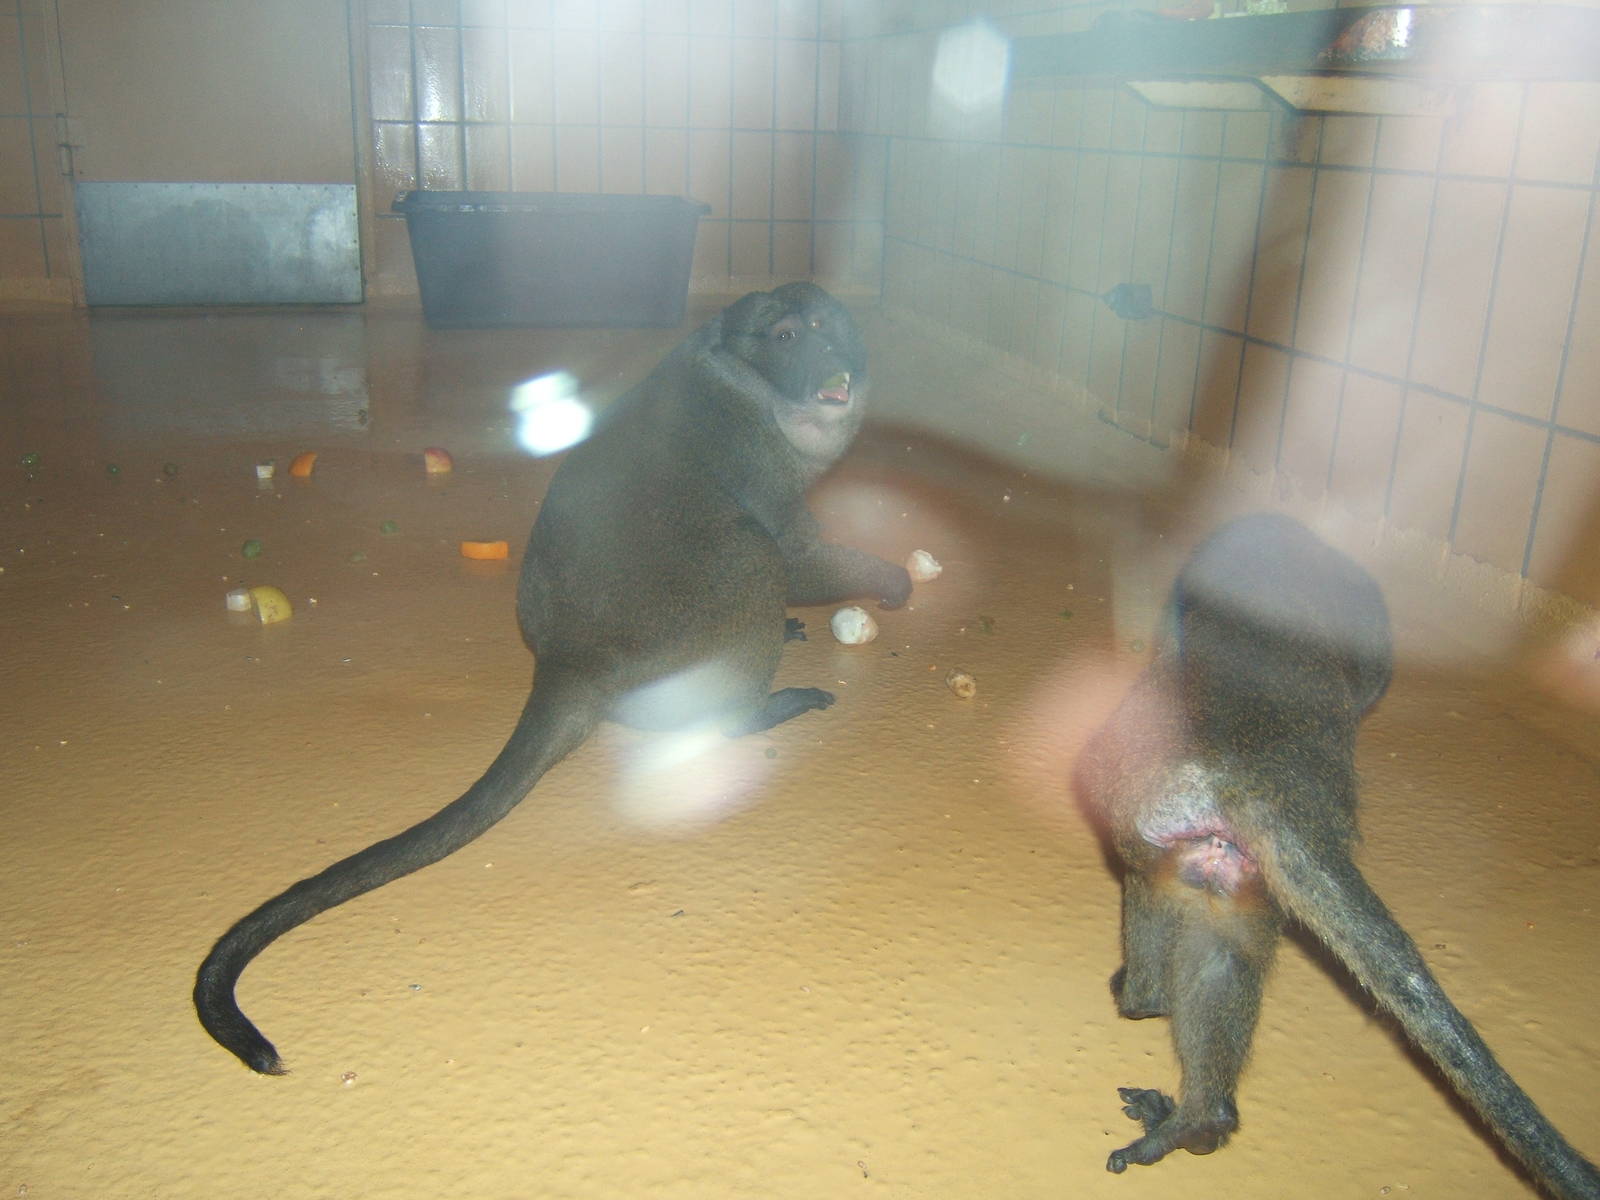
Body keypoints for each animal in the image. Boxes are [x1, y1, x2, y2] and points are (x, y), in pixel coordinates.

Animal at [195, 282, 913, 1075]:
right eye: (786, 336)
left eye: (828, 327)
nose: (830, 363)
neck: (749, 382)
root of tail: (572, 656)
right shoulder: (758, 455)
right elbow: (795, 555)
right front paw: (894, 582)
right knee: (751, 556)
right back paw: (753, 710)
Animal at [1074, 513, 1600, 1199]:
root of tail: (1255, 780)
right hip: (1236, 862)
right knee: (1225, 944)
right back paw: (1202, 1120)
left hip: (1142, 803)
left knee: (1144, 881)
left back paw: (1145, 1000)